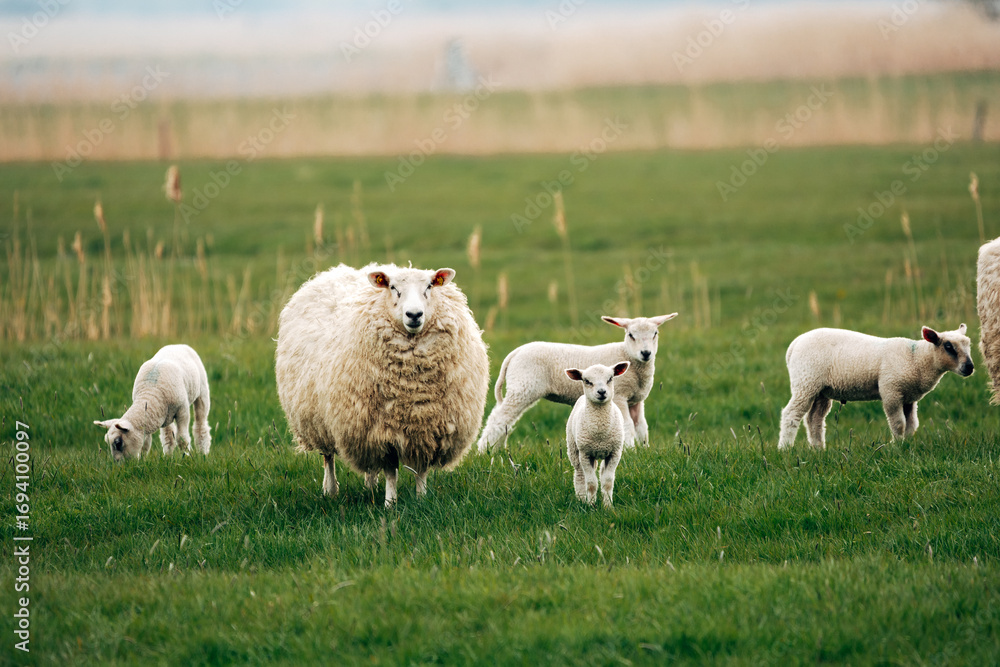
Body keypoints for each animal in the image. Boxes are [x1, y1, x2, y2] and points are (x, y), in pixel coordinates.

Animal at [274, 262, 489, 506]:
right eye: (393, 288)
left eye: (429, 286)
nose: (414, 315)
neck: (413, 388)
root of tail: (333, 272)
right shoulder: (383, 432)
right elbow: (390, 471)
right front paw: (390, 503)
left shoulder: (426, 428)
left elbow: (421, 470)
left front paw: (421, 499)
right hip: (318, 421)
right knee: (328, 457)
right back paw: (330, 490)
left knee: (368, 467)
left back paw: (370, 486)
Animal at [476, 313, 677, 453]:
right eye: (631, 335)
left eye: (655, 333)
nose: (646, 353)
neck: (629, 359)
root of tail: (515, 352)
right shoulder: (620, 396)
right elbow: (627, 426)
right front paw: (630, 450)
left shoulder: (636, 400)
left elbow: (641, 427)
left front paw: (644, 450)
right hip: (523, 387)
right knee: (498, 419)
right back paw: (484, 451)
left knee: (505, 421)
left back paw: (496, 450)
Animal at [565, 362, 630, 507]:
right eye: (587, 381)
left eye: (610, 378)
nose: (601, 392)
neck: (600, 434)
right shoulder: (585, 454)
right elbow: (591, 483)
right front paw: (591, 506)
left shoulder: (614, 453)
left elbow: (607, 482)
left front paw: (608, 506)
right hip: (574, 448)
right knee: (579, 474)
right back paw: (581, 499)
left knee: (601, 472)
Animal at [778, 325, 974, 450]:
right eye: (948, 346)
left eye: (969, 344)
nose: (970, 367)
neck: (916, 359)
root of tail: (794, 345)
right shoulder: (891, 391)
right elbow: (899, 424)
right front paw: (897, 447)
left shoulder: (909, 398)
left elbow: (911, 425)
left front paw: (907, 445)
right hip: (806, 382)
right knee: (791, 414)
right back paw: (785, 449)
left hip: (821, 390)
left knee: (814, 419)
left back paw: (818, 450)